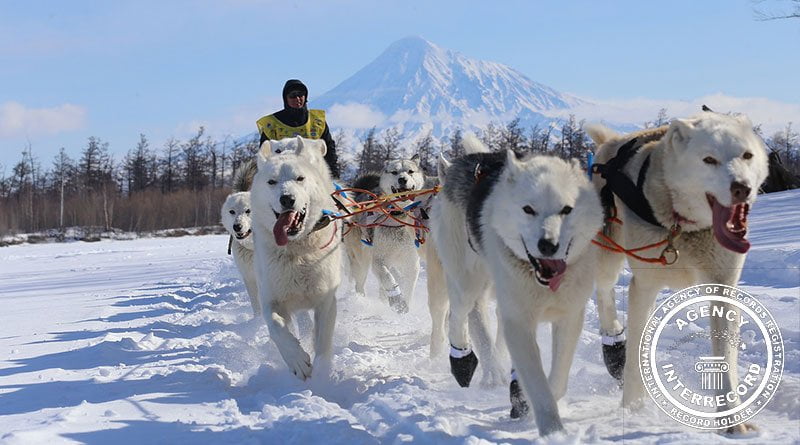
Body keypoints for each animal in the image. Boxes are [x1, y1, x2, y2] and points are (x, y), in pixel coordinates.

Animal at [248, 135, 340, 378]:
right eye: (271, 182)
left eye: (300, 178)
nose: (287, 199)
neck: (297, 250)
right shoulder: (270, 298)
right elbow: (277, 328)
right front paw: (297, 360)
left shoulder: (326, 300)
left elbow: (324, 342)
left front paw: (322, 375)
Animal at [434, 138, 604, 434]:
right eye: (528, 209)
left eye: (566, 209)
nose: (548, 245)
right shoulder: (519, 320)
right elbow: (537, 383)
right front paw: (553, 431)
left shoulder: (569, 316)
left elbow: (557, 378)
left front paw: (528, 401)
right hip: (465, 281)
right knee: (458, 314)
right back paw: (462, 360)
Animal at [588, 107, 768, 430]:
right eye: (709, 159)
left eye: (747, 155)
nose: (742, 188)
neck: (684, 227)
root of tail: (611, 142)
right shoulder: (644, 286)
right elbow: (636, 352)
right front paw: (632, 409)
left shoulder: (722, 285)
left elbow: (726, 357)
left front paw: (733, 422)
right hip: (607, 258)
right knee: (604, 293)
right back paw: (613, 344)